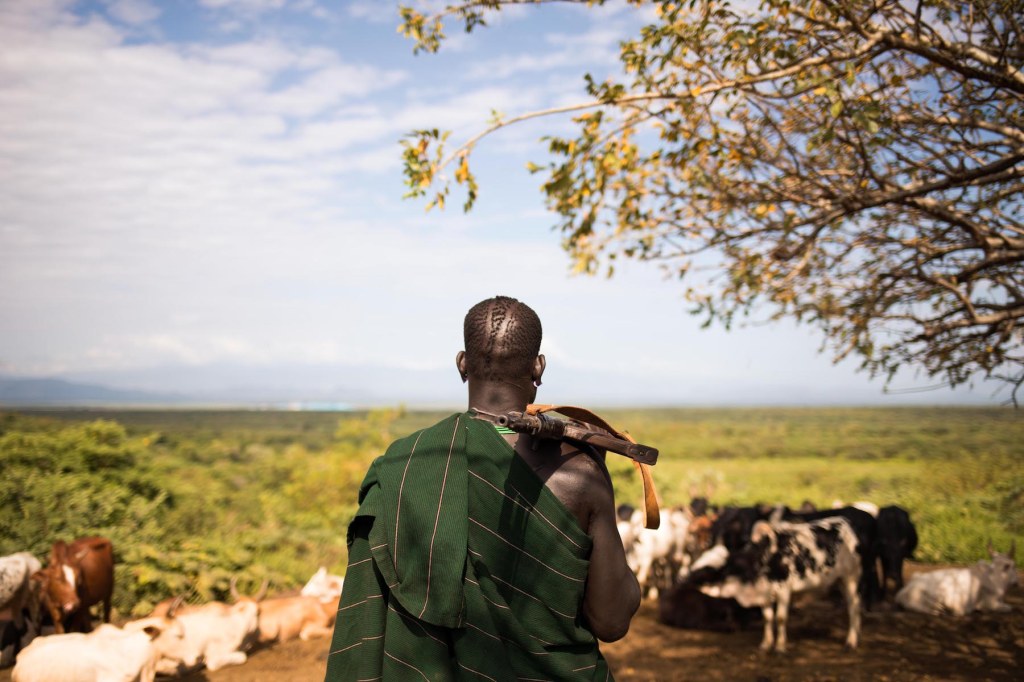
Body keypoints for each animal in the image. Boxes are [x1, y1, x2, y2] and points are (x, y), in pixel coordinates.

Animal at [684, 516, 860, 655]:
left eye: (718, 569)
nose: (688, 579)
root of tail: (845, 522)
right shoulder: (765, 594)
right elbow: (768, 618)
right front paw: (766, 644)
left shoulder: (784, 590)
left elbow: (780, 618)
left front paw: (780, 647)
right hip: (839, 580)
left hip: (850, 578)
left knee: (853, 607)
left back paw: (851, 641)